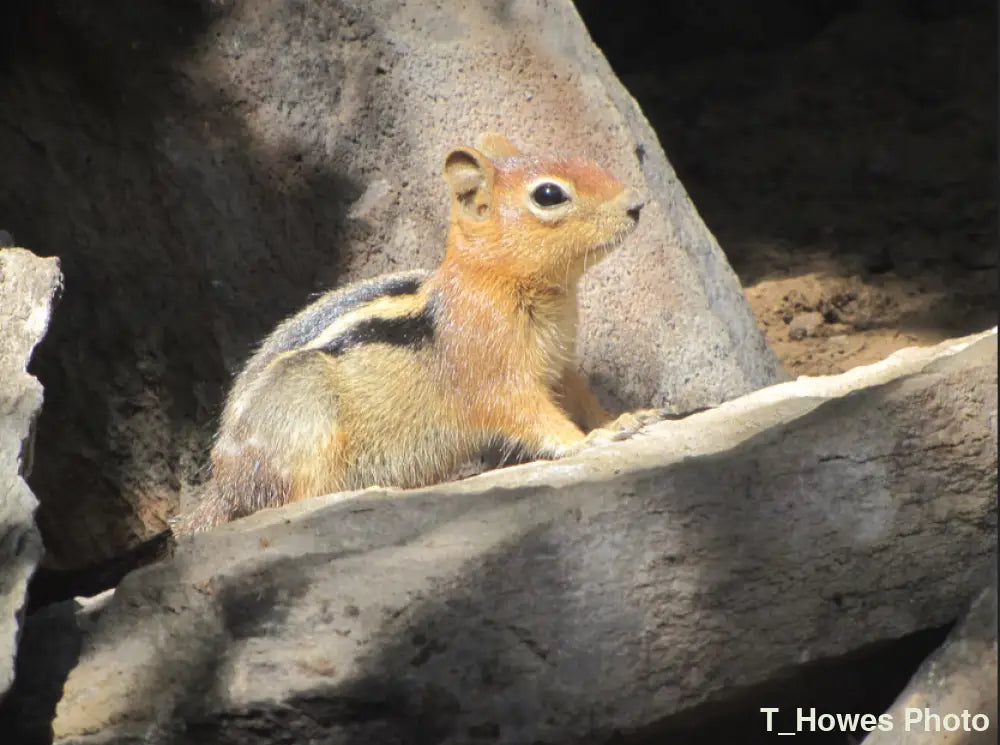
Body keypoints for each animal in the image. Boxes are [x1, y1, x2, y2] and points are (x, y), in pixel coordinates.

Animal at [179, 134, 660, 532]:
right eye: (549, 194)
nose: (636, 204)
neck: (496, 280)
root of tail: (223, 486)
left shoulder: (561, 366)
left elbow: (582, 399)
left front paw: (622, 419)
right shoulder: (493, 371)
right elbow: (529, 414)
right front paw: (588, 440)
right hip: (307, 418)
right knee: (295, 502)